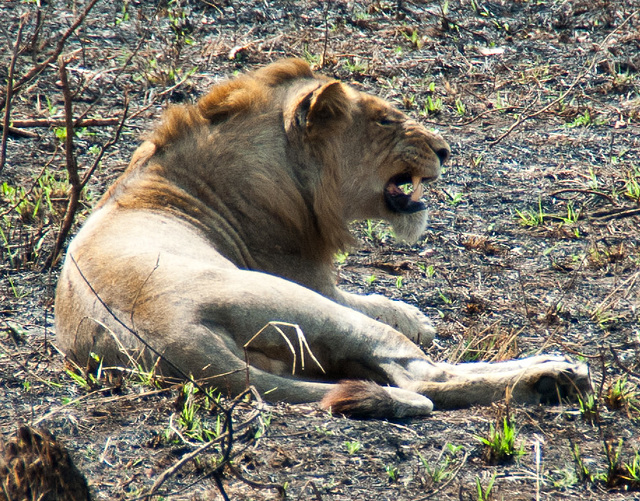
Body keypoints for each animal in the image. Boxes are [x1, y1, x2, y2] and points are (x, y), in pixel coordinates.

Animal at [56, 58, 592, 418]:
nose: (445, 150)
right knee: (424, 378)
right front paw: (419, 317)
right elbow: (381, 304)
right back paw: (555, 374)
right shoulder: (314, 282)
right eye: (384, 120)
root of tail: (175, 337)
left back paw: (550, 382)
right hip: (298, 303)